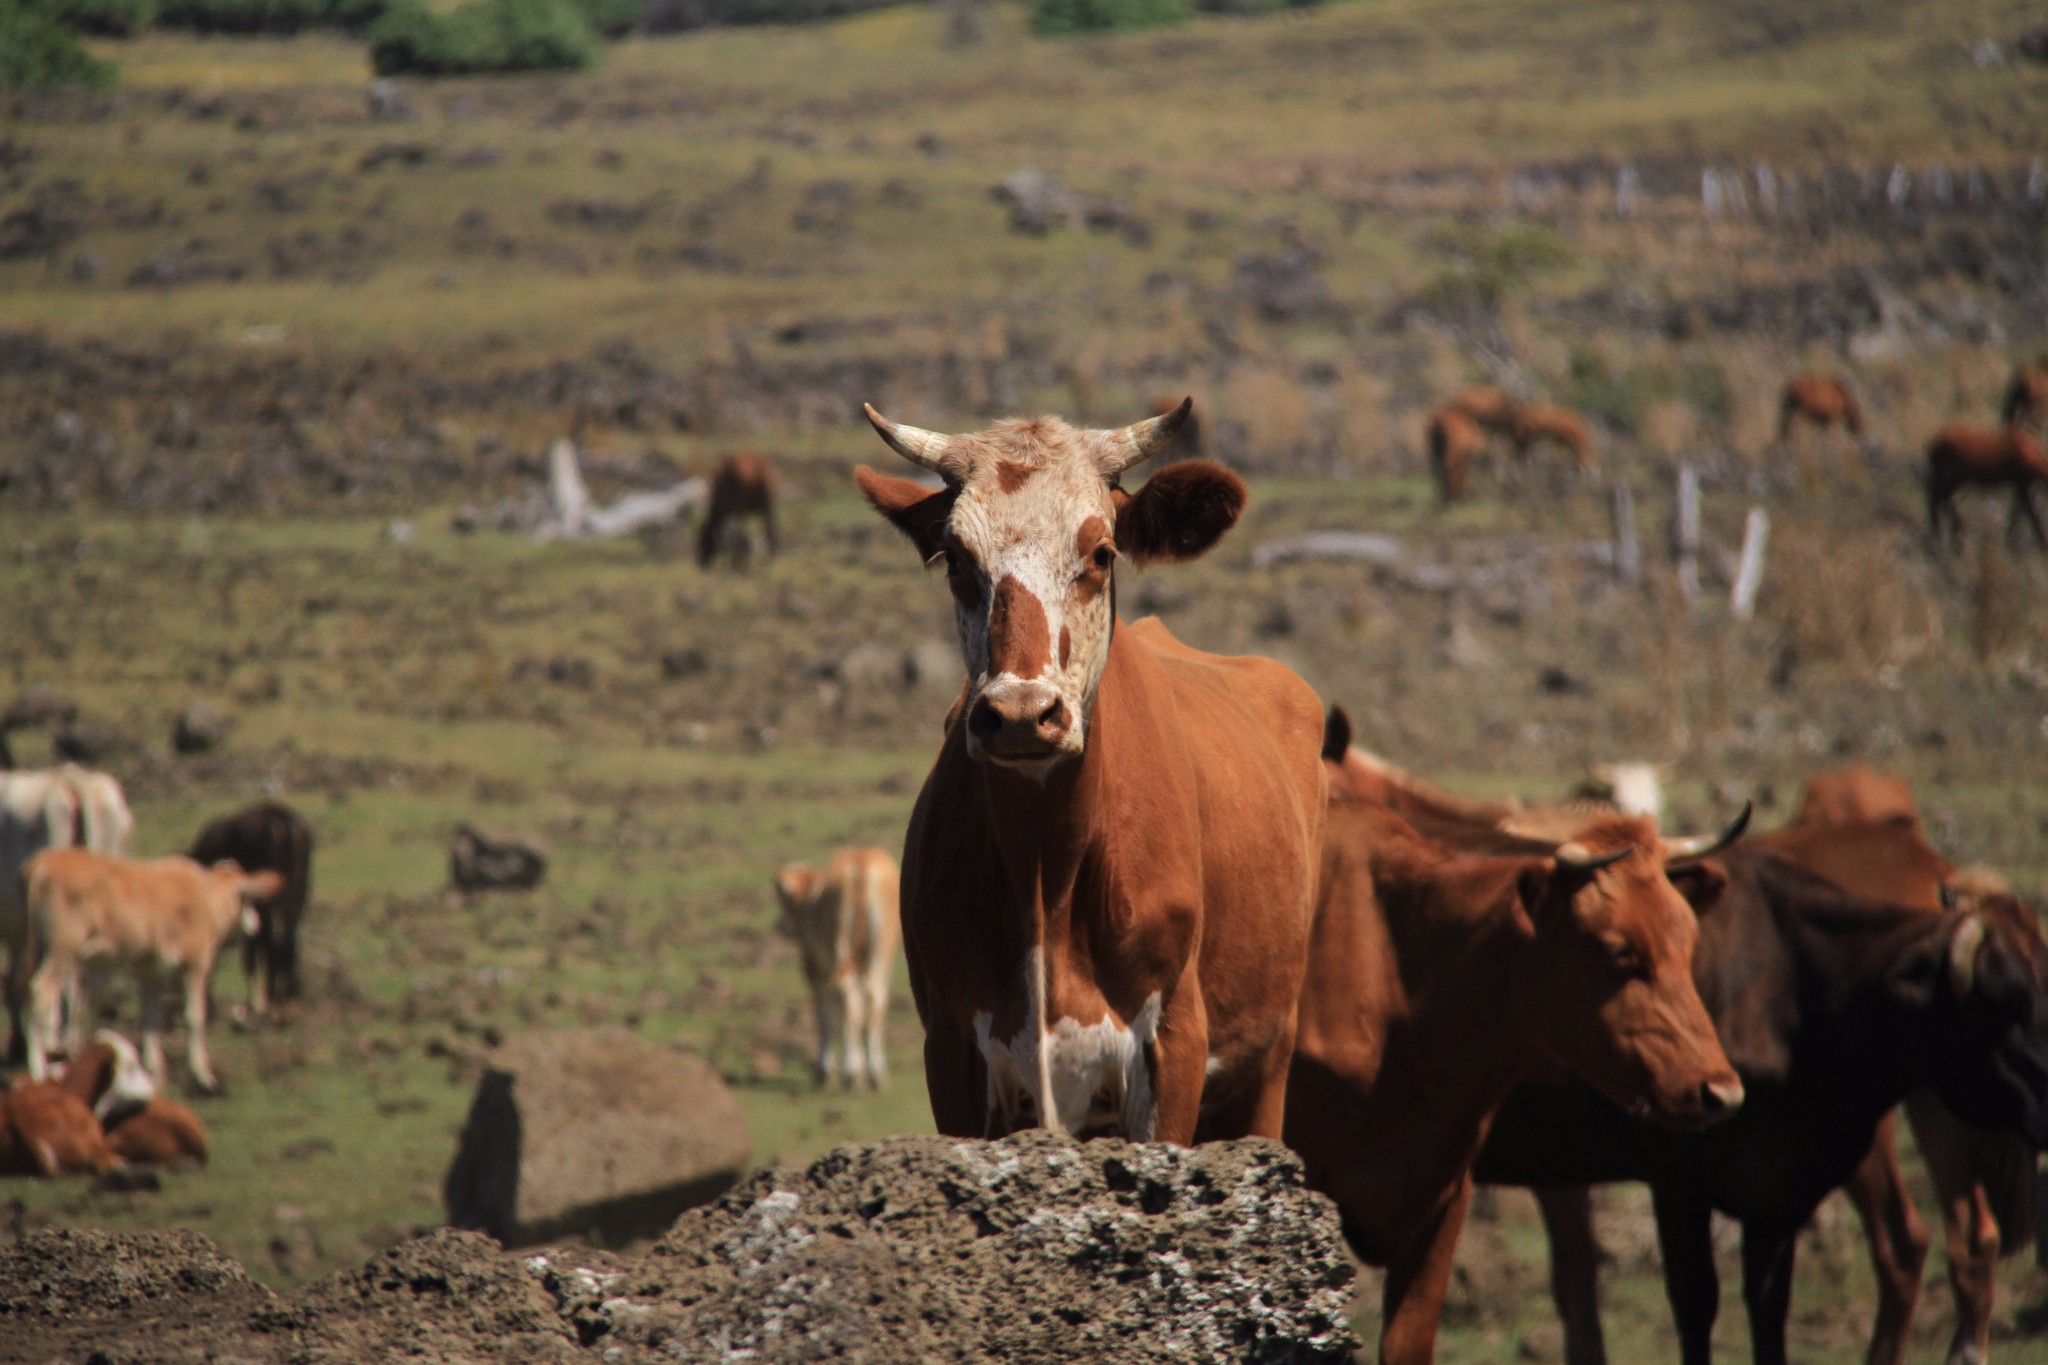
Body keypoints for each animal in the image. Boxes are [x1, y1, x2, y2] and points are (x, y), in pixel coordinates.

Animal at [22, 847, 280, 1096]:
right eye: (248, 900)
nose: (256, 923)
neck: (204, 899)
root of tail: (44, 863)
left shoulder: (149, 977)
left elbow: (150, 1023)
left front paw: (155, 1074)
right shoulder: (195, 969)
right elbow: (194, 1017)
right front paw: (203, 1075)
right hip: (63, 950)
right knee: (42, 990)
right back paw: (39, 1068)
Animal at [192, 802, 315, 1015]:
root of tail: (284, 823)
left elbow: (250, 950)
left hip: (269, 900)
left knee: (269, 943)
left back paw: (268, 998)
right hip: (297, 893)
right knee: (286, 942)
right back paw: (286, 995)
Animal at [770, 843, 901, 1088]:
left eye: (783, 901)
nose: (780, 926)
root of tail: (860, 862)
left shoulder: (814, 967)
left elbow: (824, 1014)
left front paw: (824, 1069)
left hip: (839, 950)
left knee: (850, 1001)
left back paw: (851, 1072)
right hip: (879, 954)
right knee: (875, 1001)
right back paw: (875, 1073)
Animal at [851, 401, 1318, 1146]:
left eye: (1101, 552)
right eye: (957, 558)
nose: (1020, 714)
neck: (1049, 875)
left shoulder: (1173, 1045)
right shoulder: (952, 1053)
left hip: (1269, 1061)